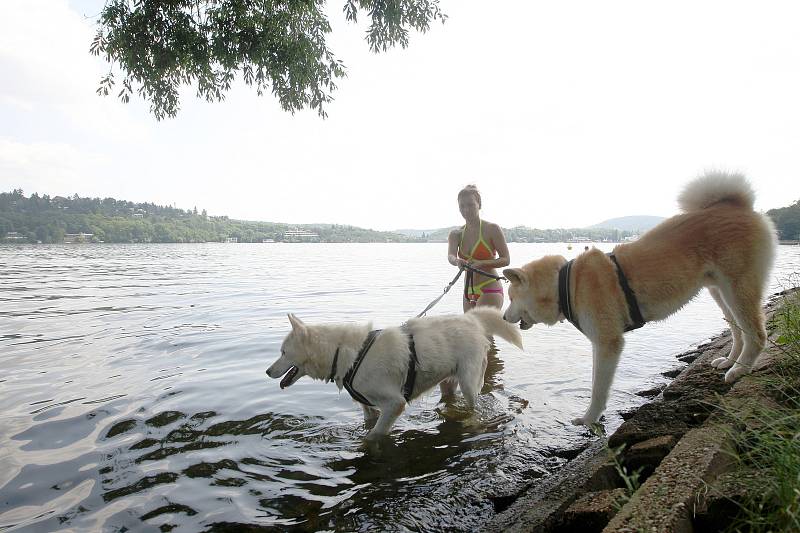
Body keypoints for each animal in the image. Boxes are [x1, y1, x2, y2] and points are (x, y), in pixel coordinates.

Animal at [266, 306, 520, 438]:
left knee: (474, 407)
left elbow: (373, 436)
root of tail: (471, 318)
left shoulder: (394, 403)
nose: (267, 371)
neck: (344, 354)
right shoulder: (368, 408)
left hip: (468, 383)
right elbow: (369, 425)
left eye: (283, 352)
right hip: (447, 381)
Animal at [506, 172, 776, 426]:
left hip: (737, 289)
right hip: (720, 293)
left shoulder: (608, 342)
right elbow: (595, 380)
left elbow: (598, 389)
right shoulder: (599, 343)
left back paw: (739, 370)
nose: (504, 316)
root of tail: (737, 205)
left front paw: (588, 419)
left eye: (509, 296)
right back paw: (729, 362)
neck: (567, 284)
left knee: (756, 334)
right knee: (738, 332)